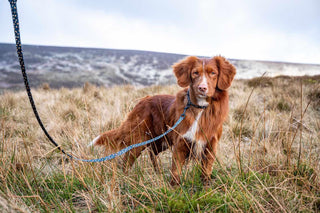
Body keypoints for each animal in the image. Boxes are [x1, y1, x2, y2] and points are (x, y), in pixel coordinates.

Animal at [88, 55, 235, 184]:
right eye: (195, 73)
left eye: (213, 73)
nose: (202, 88)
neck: (200, 108)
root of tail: (143, 100)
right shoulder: (180, 143)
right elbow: (176, 172)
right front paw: (175, 190)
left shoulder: (210, 146)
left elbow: (206, 173)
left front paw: (205, 187)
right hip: (140, 138)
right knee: (128, 159)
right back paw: (125, 179)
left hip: (161, 140)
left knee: (152, 152)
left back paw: (157, 173)